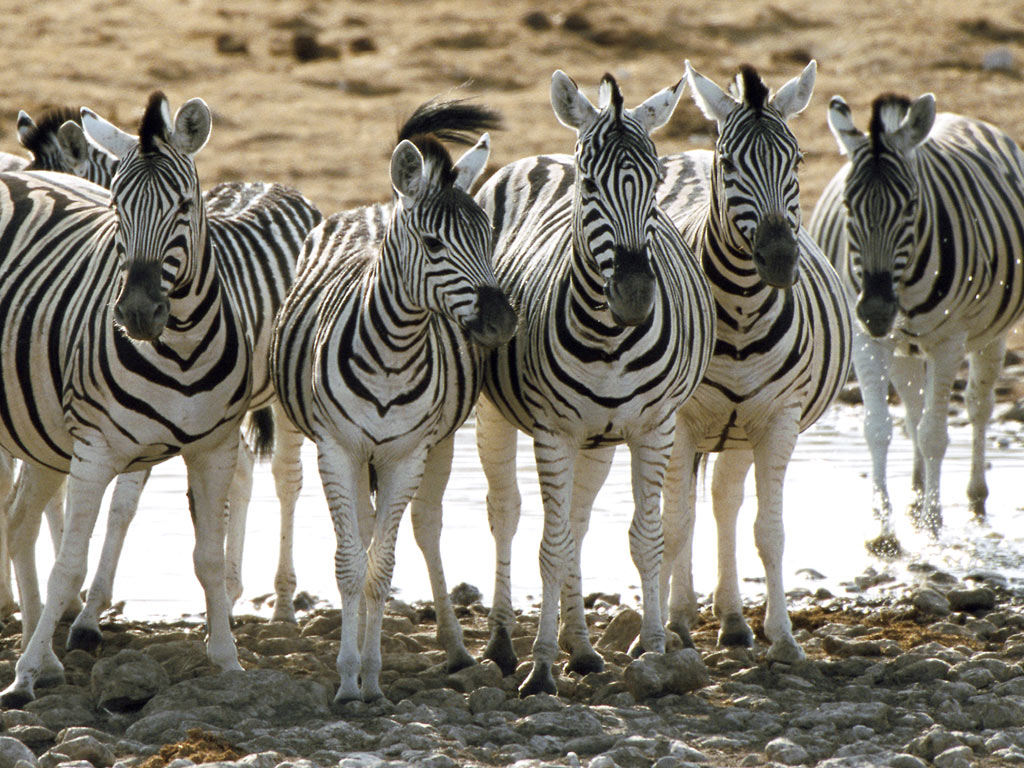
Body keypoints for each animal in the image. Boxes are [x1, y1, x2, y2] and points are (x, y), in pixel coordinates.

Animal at [0, 107, 320, 644]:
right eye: (115, 206)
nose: (135, 311)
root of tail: (274, 183)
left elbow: (121, 506)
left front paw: (86, 613)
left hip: (283, 391)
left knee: (286, 479)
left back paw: (281, 603)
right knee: (242, 474)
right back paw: (231, 592)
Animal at [271, 98, 516, 703]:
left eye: (490, 237)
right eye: (433, 245)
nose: (501, 323)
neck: (394, 352)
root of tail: (377, 207)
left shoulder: (408, 454)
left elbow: (381, 568)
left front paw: (373, 678)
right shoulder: (337, 448)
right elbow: (348, 565)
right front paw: (347, 679)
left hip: (436, 444)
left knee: (423, 528)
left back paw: (453, 648)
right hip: (349, 450)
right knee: (359, 532)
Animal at [474, 70, 716, 697]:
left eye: (656, 182)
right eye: (589, 183)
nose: (635, 296)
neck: (610, 338)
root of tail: (543, 157)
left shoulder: (653, 428)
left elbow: (645, 538)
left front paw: (654, 651)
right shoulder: (552, 433)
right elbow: (550, 546)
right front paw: (539, 669)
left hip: (599, 440)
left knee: (581, 525)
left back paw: (581, 649)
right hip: (495, 413)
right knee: (506, 513)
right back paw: (503, 644)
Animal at [645, 61, 851, 661]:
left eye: (797, 160)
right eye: (730, 163)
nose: (780, 260)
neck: (738, 311)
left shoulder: (778, 420)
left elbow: (769, 530)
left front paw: (782, 637)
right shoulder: (679, 421)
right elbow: (673, 524)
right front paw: (663, 630)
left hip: (737, 429)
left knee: (723, 501)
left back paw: (732, 619)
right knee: (686, 508)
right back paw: (683, 614)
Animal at [808, 92, 1024, 556]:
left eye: (910, 206)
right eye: (849, 207)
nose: (875, 310)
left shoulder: (948, 342)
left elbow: (935, 434)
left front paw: (933, 525)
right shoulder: (866, 340)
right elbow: (878, 428)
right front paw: (883, 532)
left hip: (991, 335)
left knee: (977, 407)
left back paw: (974, 498)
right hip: (904, 348)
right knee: (912, 409)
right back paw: (916, 491)